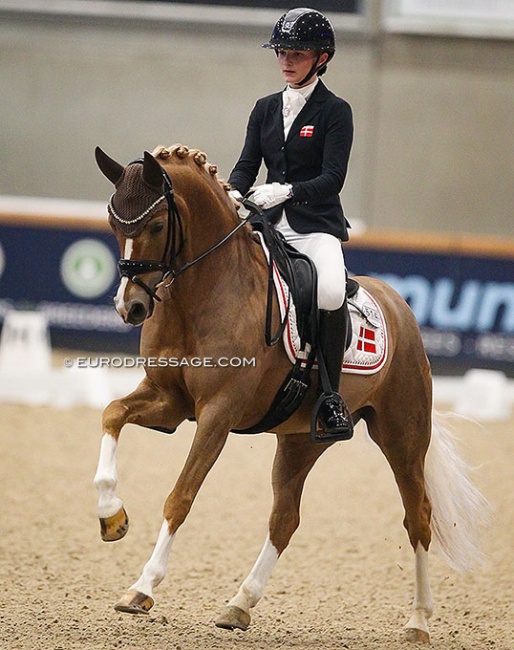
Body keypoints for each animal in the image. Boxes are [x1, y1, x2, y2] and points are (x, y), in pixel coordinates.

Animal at [95, 144, 484, 640]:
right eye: (113, 225)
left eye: (158, 225)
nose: (130, 307)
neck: (204, 292)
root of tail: (400, 305)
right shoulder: (168, 400)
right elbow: (111, 414)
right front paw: (112, 516)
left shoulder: (217, 414)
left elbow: (180, 497)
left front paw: (142, 587)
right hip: (301, 440)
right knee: (285, 519)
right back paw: (239, 605)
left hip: (403, 436)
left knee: (418, 517)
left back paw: (417, 621)